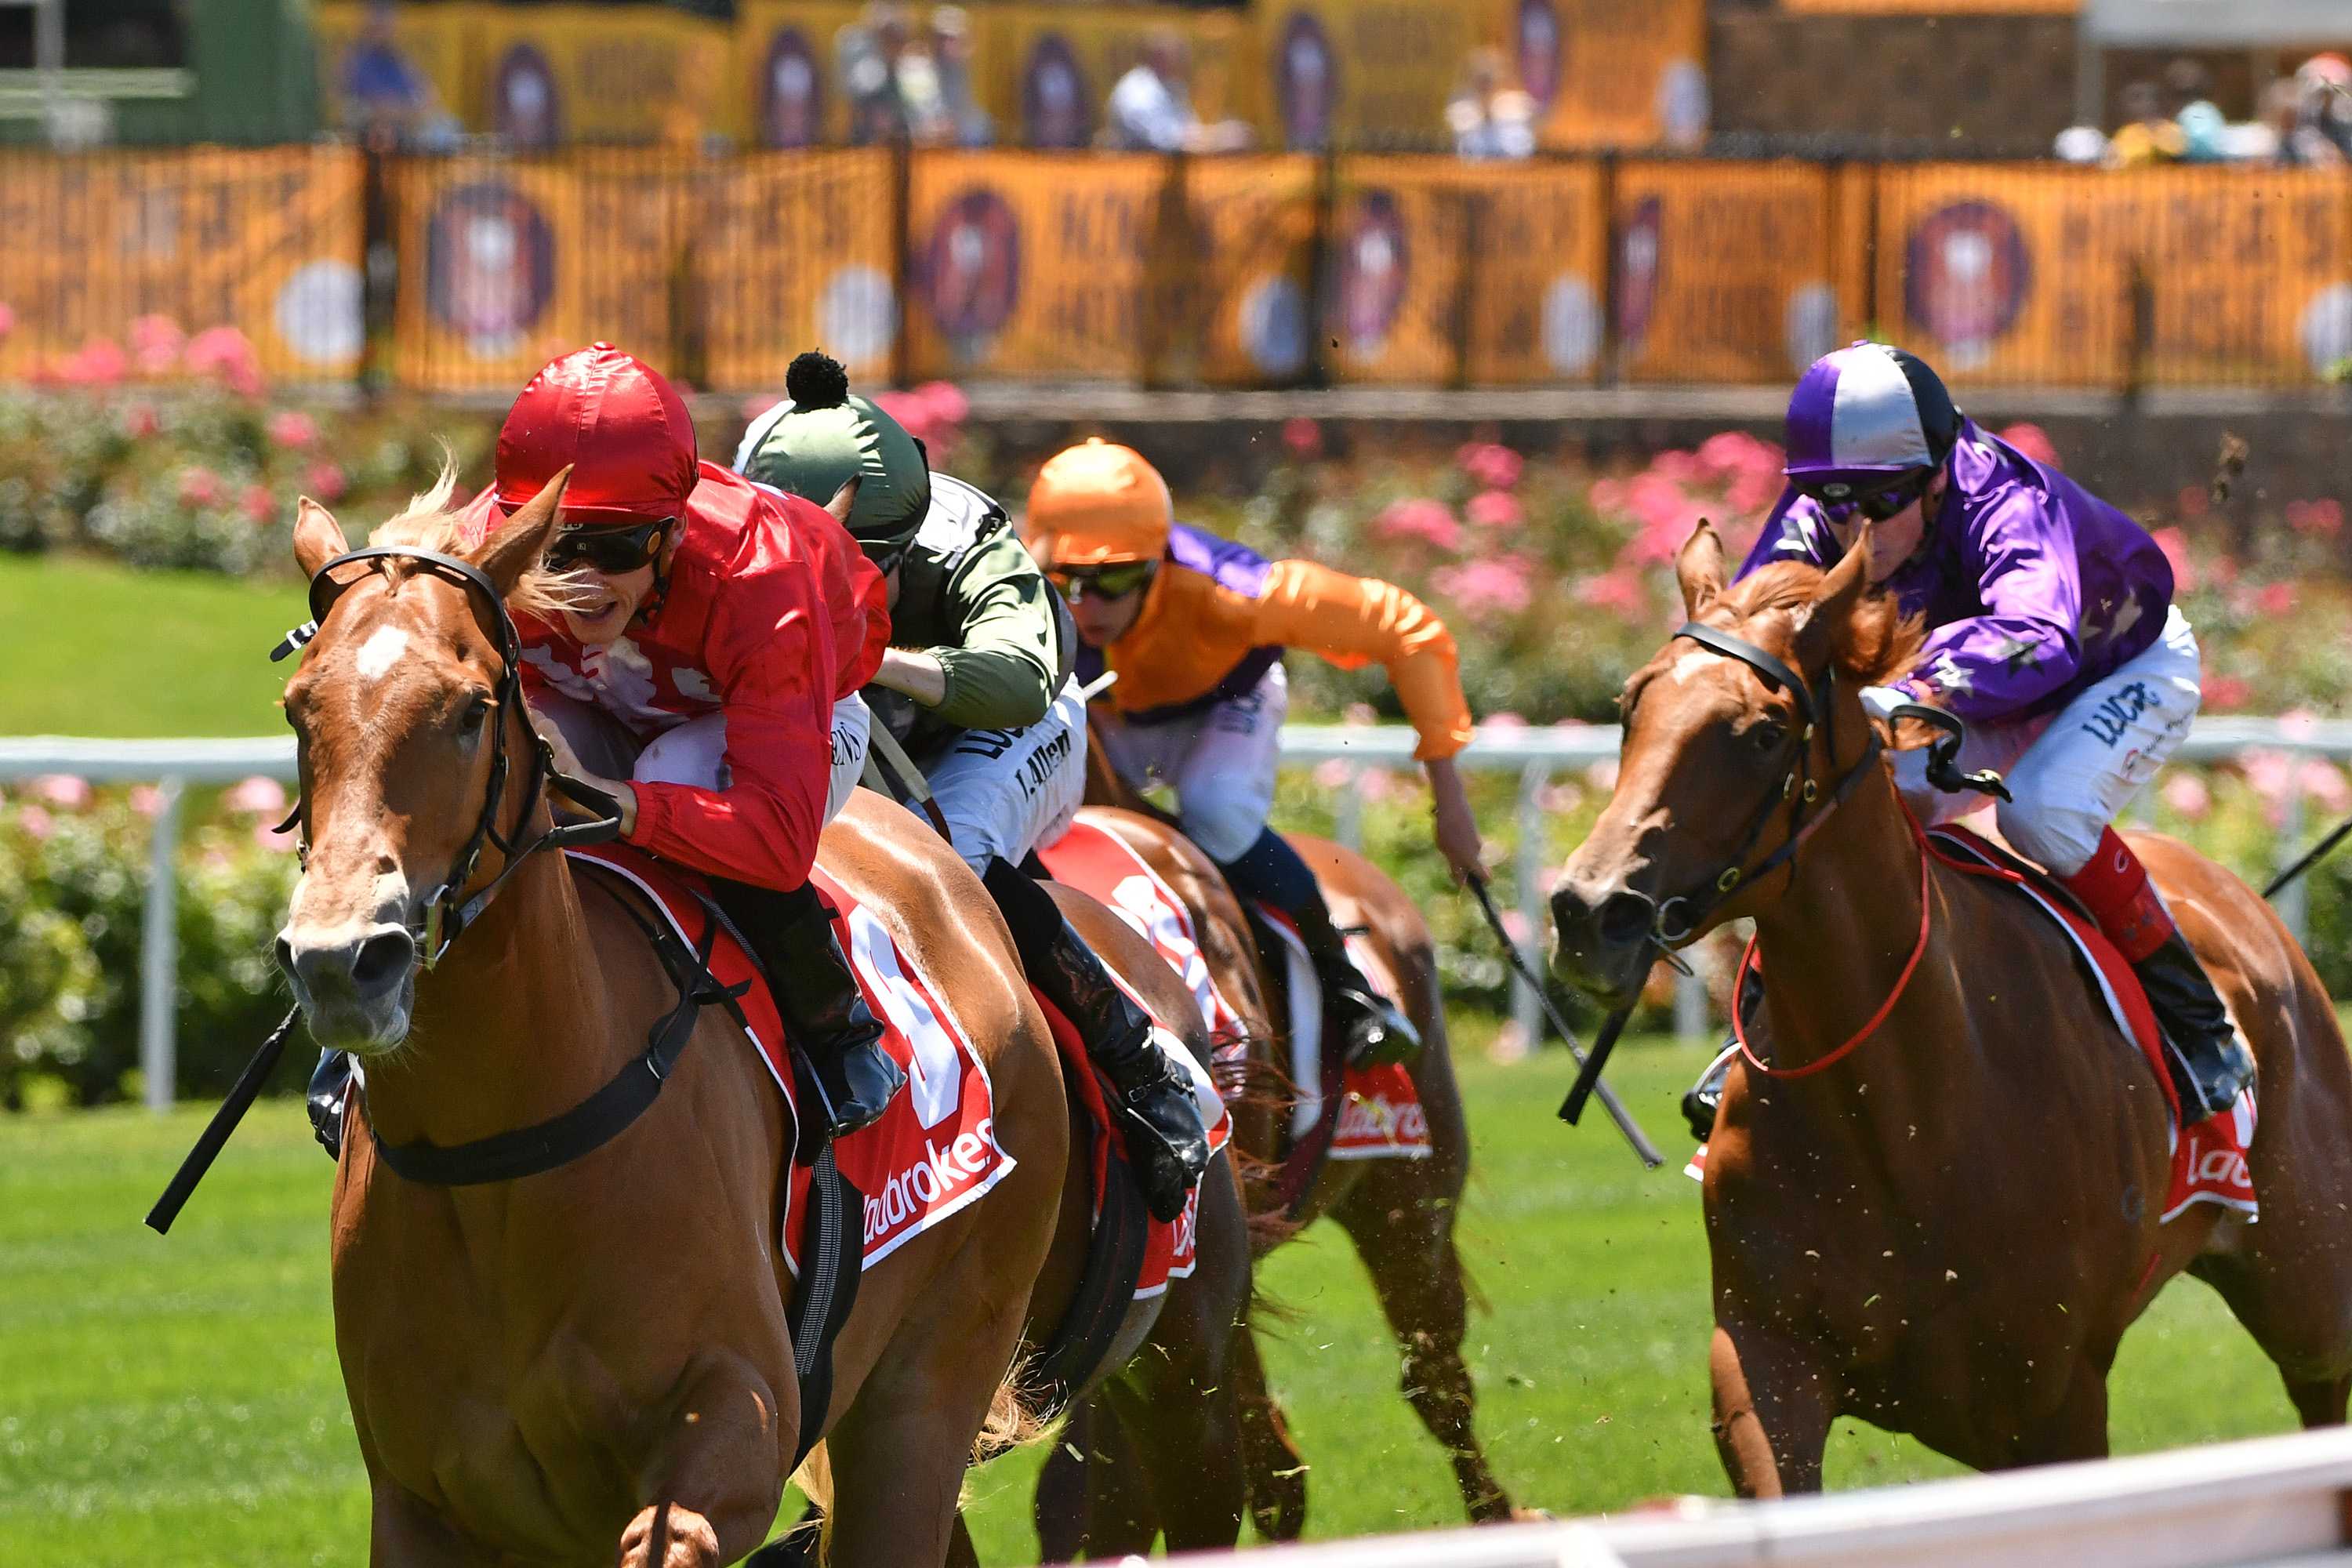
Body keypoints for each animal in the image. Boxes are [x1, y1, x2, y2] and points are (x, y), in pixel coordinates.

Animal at [278, 478, 1081, 1567]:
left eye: (470, 709)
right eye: (298, 707)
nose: (342, 961)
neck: (501, 1145)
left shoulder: (735, 1432)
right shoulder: (425, 1500)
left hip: (932, 1377)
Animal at [1549, 519, 2352, 1496]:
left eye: (1765, 731)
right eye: (1632, 704)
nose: (1592, 911)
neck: (1901, 1106)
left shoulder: (2054, 1399)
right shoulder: (1763, 1354)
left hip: (2310, 1285)